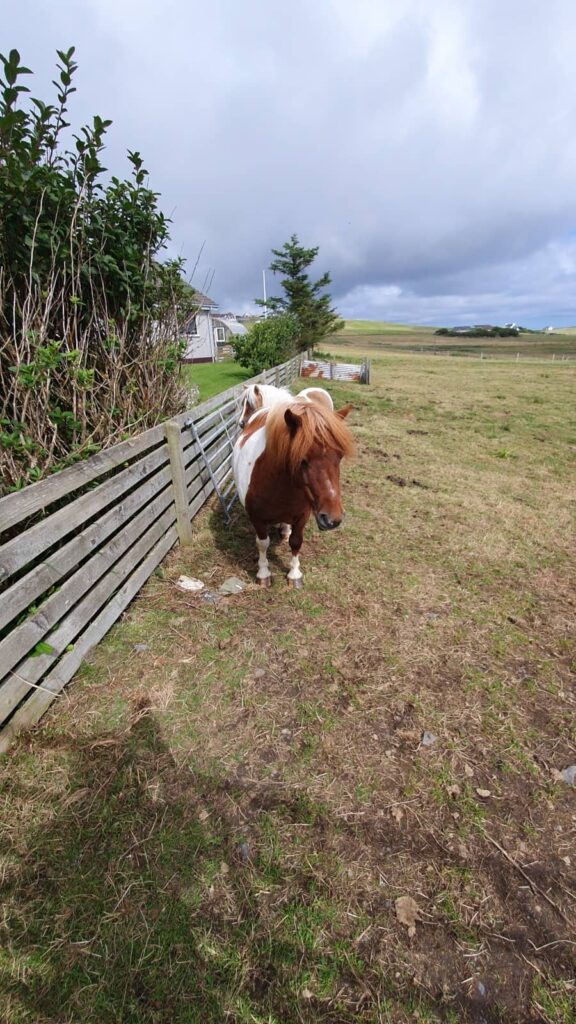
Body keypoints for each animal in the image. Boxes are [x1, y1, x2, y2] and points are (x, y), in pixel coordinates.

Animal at [233, 398, 353, 587]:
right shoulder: (256, 518)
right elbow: (262, 544)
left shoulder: (302, 516)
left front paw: (294, 574)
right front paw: (263, 573)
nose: (333, 519)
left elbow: (296, 542)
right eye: (302, 460)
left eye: (340, 456)